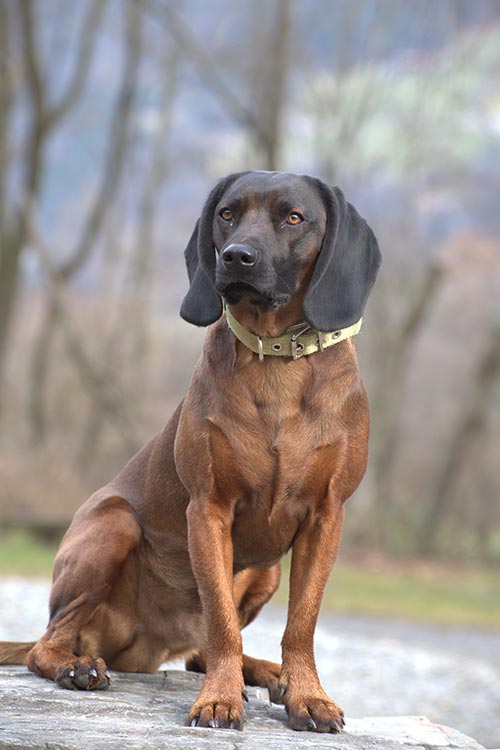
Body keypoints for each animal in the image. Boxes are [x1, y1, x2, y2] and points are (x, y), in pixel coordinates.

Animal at [1, 170, 380, 736]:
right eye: (227, 214)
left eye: (294, 217)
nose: (237, 256)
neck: (276, 362)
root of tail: (139, 648)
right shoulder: (208, 510)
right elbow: (221, 621)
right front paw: (219, 700)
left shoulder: (324, 517)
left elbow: (302, 623)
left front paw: (307, 695)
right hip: (113, 526)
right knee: (48, 644)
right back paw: (76, 667)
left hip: (266, 570)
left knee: (202, 652)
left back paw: (267, 672)